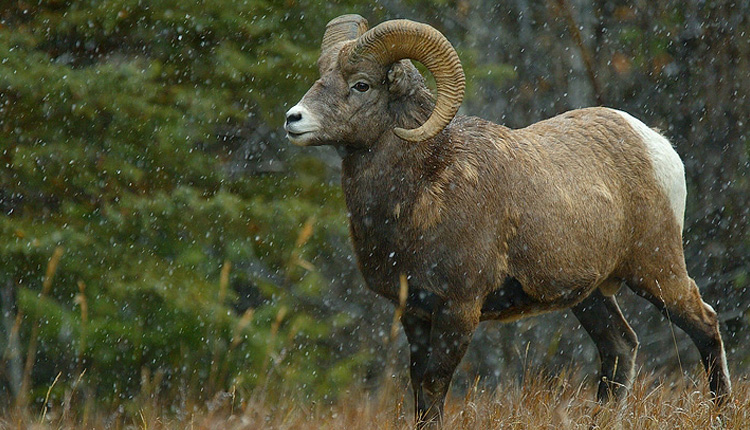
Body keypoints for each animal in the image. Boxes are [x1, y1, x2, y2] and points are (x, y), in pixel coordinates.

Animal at [284, 13, 732, 426]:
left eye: (361, 84)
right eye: (322, 75)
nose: (293, 119)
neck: (423, 187)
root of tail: (656, 143)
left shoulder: (460, 309)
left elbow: (434, 386)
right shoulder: (414, 312)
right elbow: (419, 392)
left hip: (656, 270)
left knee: (705, 324)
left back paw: (722, 413)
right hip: (590, 296)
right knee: (620, 347)